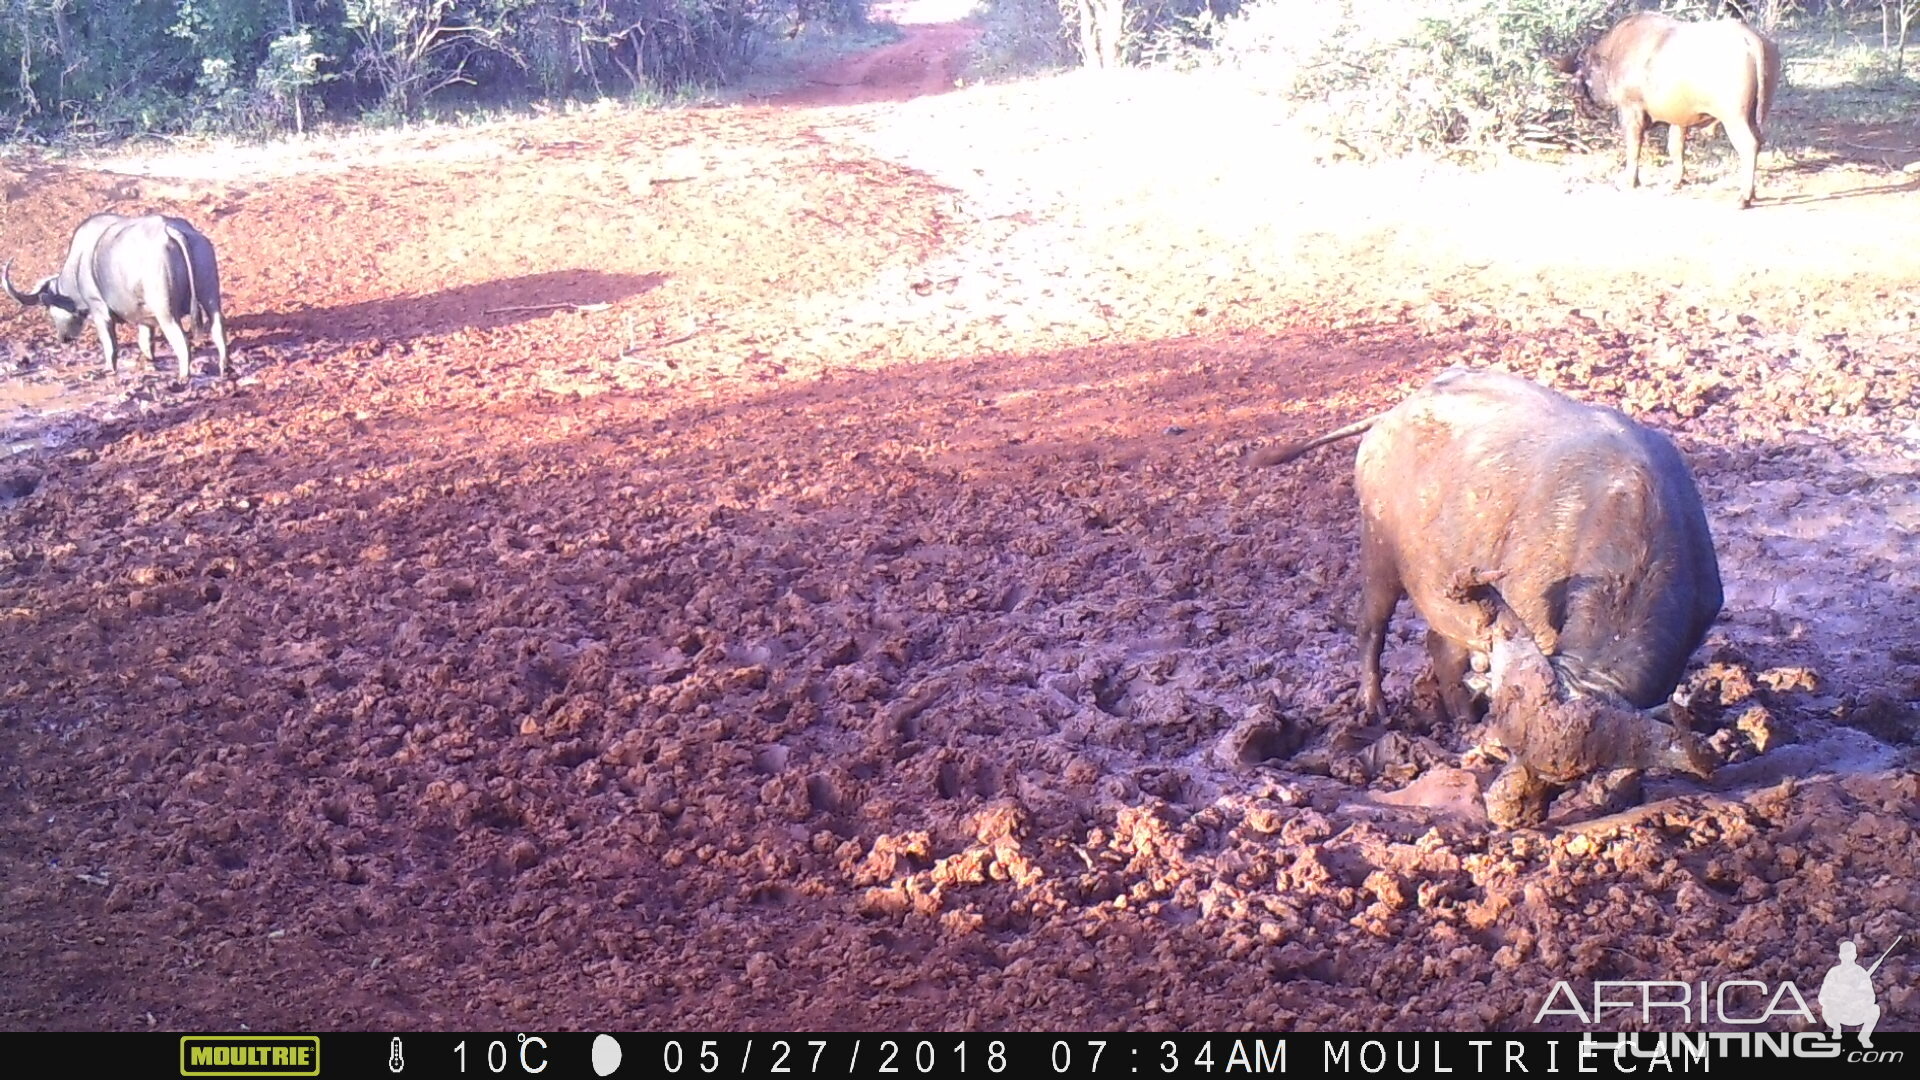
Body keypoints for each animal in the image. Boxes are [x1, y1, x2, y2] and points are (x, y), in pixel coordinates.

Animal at [5, 210, 231, 378]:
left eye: (50, 310)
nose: (63, 338)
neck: (79, 265)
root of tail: (172, 230)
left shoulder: (98, 310)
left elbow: (109, 343)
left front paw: (109, 368)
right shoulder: (144, 316)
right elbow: (145, 340)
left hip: (166, 312)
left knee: (182, 341)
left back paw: (184, 376)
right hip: (210, 298)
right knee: (218, 329)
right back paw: (224, 367)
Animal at [1559, 12, 1781, 208]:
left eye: (1583, 67)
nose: (1572, 92)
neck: (1614, 53)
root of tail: (1750, 38)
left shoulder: (1631, 112)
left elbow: (1633, 147)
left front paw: (1630, 180)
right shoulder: (1679, 119)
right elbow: (1676, 147)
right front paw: (1676, 180)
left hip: (1734, 119)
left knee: (1749, 146)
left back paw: (1743, 197)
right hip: (1753, 116)